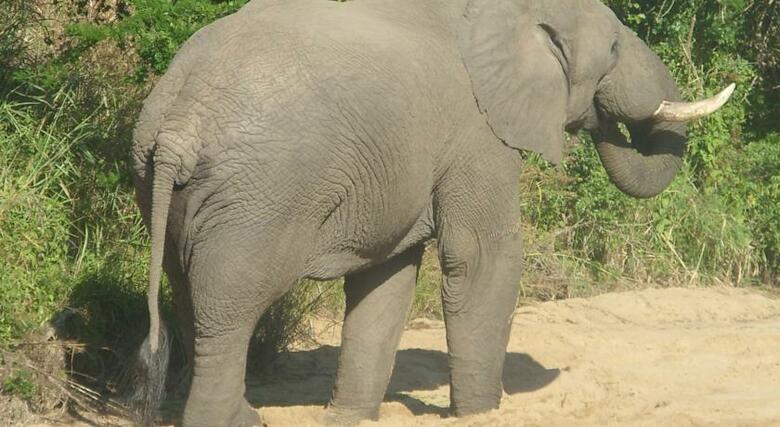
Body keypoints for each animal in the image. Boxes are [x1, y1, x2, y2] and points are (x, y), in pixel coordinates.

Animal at [131, 0, 734, 425]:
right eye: (612, 49)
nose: (602, 115)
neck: (505, 12)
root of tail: (180, 124)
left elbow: (386, 278)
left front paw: (349, 417)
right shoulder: (478, 132)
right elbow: (482, 258)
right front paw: (482, 414)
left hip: (167, 182)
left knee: (188, 292)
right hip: (261, 193)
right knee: (227, 308)